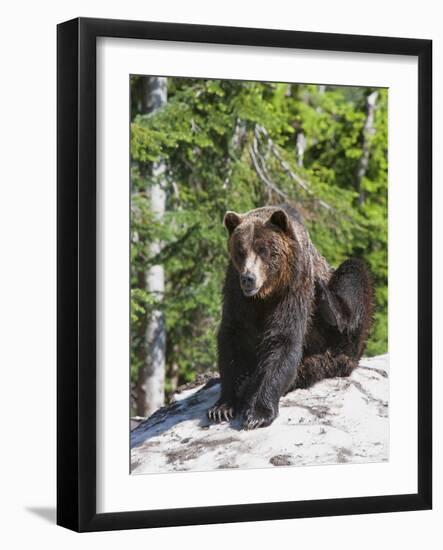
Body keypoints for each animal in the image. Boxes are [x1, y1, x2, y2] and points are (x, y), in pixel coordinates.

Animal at [208, 204, 374, 432]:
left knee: (353, 272)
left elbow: (284, 339)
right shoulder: (236, 291)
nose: (249, 278)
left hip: (339, 331)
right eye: (240, 250)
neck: (267, 291)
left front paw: (258, 413)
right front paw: (222, 406)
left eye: (263, 249)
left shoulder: (294, 286)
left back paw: (330, 305)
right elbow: (232, 336)